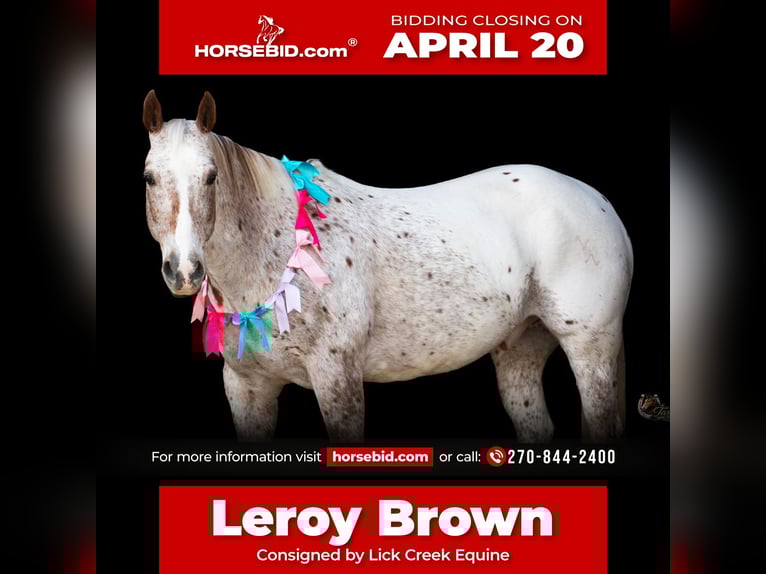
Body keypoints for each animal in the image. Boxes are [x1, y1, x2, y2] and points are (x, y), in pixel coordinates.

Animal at [142, 90, 633, 442]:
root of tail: (598, 201)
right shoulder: (247, 387)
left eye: (211, 177)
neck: (277, 255)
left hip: (591, 350)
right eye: (149, 178)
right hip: (521, 349)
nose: (184, 271)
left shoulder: (337, 378)